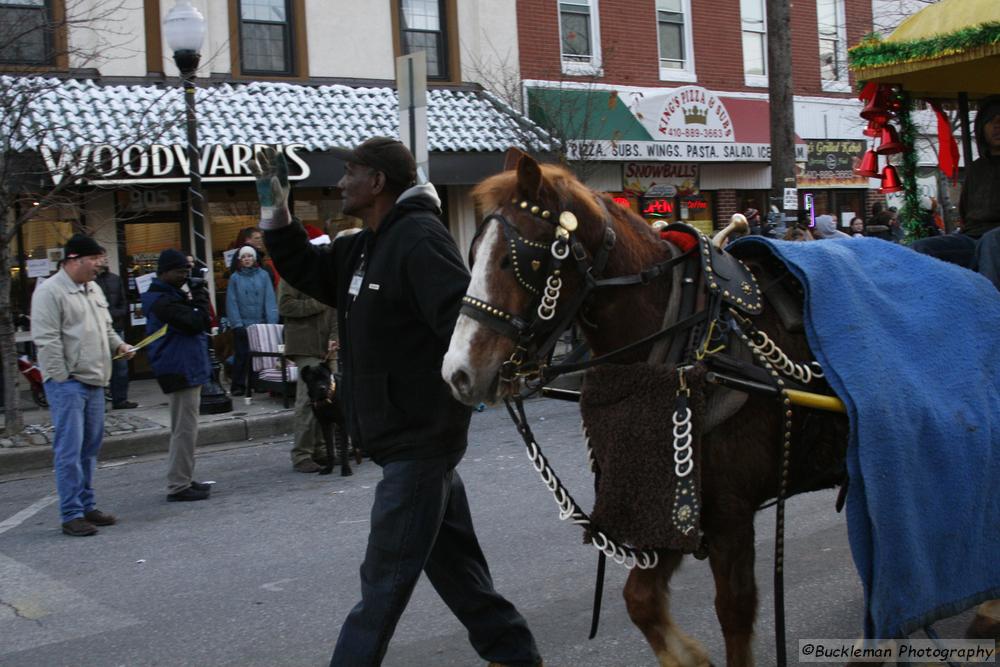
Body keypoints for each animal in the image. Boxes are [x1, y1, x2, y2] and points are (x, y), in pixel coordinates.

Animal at [446, 154, 852, 664]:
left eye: (520, 261)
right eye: (472, 254)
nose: (458, 373)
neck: (682, 337)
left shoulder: (730, 513)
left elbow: (734, 614)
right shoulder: (668, 502)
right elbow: (639, 600)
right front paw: (691, 656)